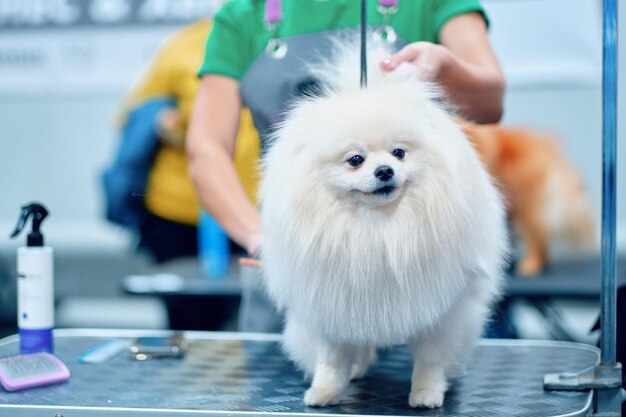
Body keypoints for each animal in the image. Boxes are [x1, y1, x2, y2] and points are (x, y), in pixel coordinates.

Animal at [258, 39, 508, 410]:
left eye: (399, 153)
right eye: (355, 160)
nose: (385, 170)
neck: (377, 228)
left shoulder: (442, 306)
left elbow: (431, 357)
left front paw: (426, 393)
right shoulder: (331, 302)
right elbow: (332, 358)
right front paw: (325, 390)